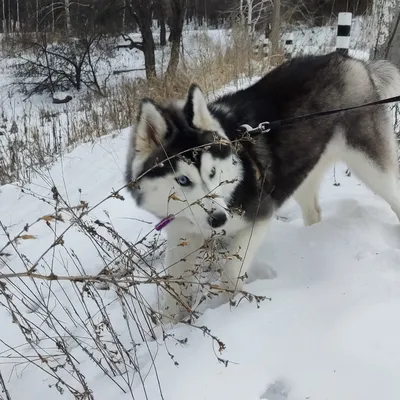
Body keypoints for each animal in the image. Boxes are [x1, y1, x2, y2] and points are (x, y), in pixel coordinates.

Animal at [126, 52, 400, 322]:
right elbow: (172, 287)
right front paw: (169, 325)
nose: (218, 219)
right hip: (301, 171)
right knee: (313, 210)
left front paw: (231, 309)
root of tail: (350, 59)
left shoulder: (259, 216)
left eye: (212, 173)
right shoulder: (182, 232)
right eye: (182, 180)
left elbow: (231, 272)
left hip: (369, 165)